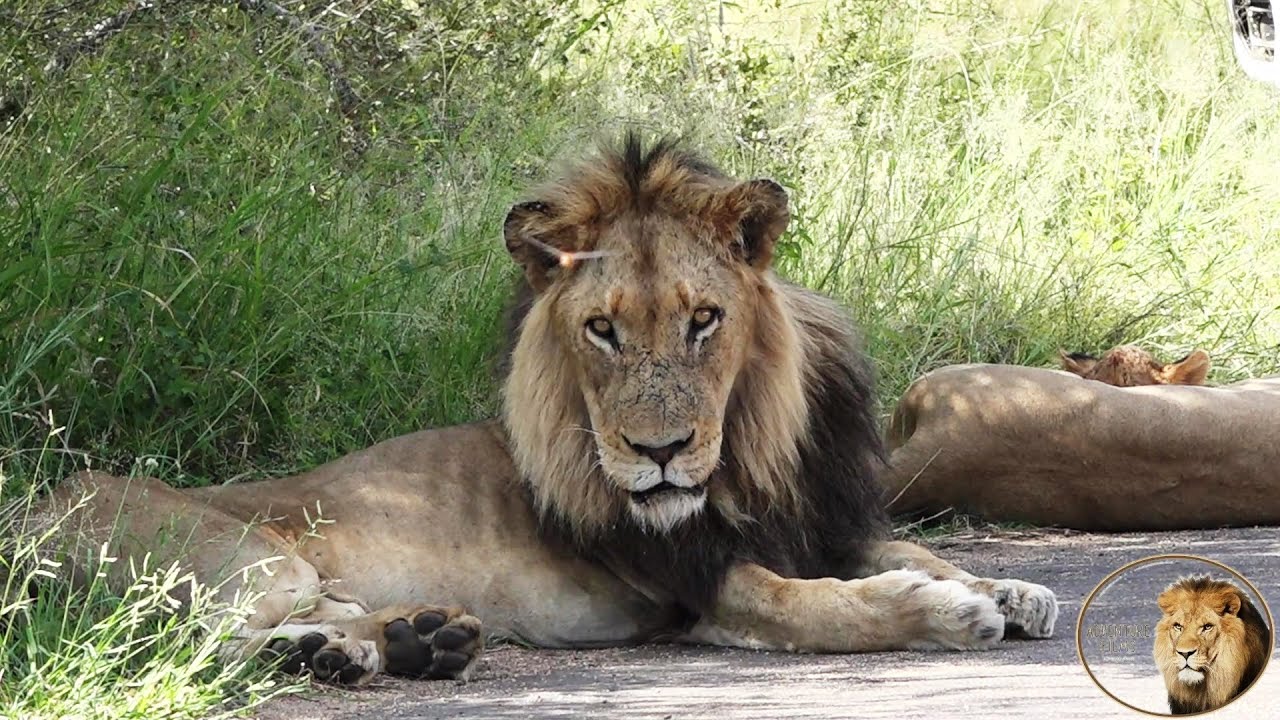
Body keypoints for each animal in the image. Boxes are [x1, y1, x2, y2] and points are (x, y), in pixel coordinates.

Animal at [36, 134, 1058, 687]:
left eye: (704, 319)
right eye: (601, 329)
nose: (658, 452)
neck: (752, 446)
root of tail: (36, 500)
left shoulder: (826, 519)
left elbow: (911, 547)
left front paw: (1011, 587)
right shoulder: (704, 581)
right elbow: (820, 606)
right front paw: (946, 612)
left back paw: (407, 642)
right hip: (251, 558)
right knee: (197, 640)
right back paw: (325, 657)